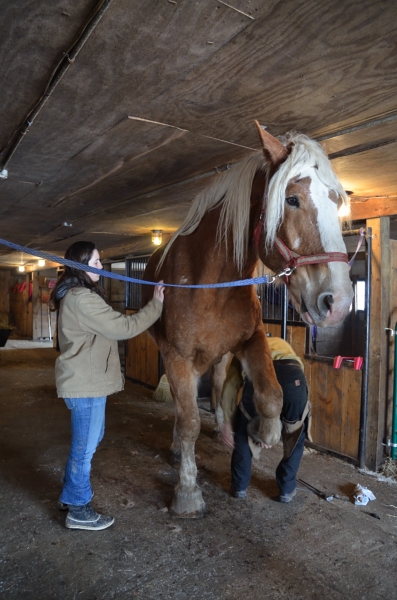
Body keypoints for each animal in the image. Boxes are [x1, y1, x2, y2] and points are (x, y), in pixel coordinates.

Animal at [142, 120, 350, 516]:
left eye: (336, 201)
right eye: (292, 199)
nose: (339, 303)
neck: (211, 283)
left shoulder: (252, 339)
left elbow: (272, 394)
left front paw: (261, 433)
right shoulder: (177, 357)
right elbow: (189, 421)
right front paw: (187, 492)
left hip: (222, 355)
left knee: (218, 384)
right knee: (184, 405)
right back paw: (178, 449)